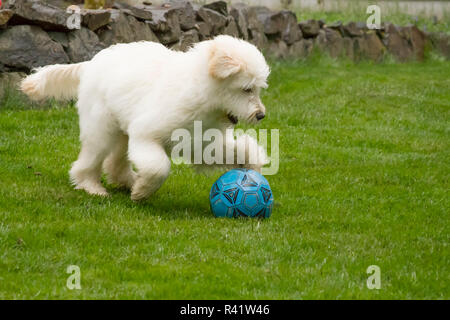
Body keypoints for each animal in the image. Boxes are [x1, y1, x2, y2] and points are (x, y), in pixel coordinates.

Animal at [21, 35, 268, 200]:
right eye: (246, 89)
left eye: (258, 88)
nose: (261, 115)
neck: (199, 90)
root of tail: (92, 63)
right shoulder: (146, 134)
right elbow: (158, 167)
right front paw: (142, 192)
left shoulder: (202, 145)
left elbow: (240, 150)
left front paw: (252, 168)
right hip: (101, 129)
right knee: (89, 161)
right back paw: (92, 187)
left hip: (121, 130)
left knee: (115, 162)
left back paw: (127, 181)